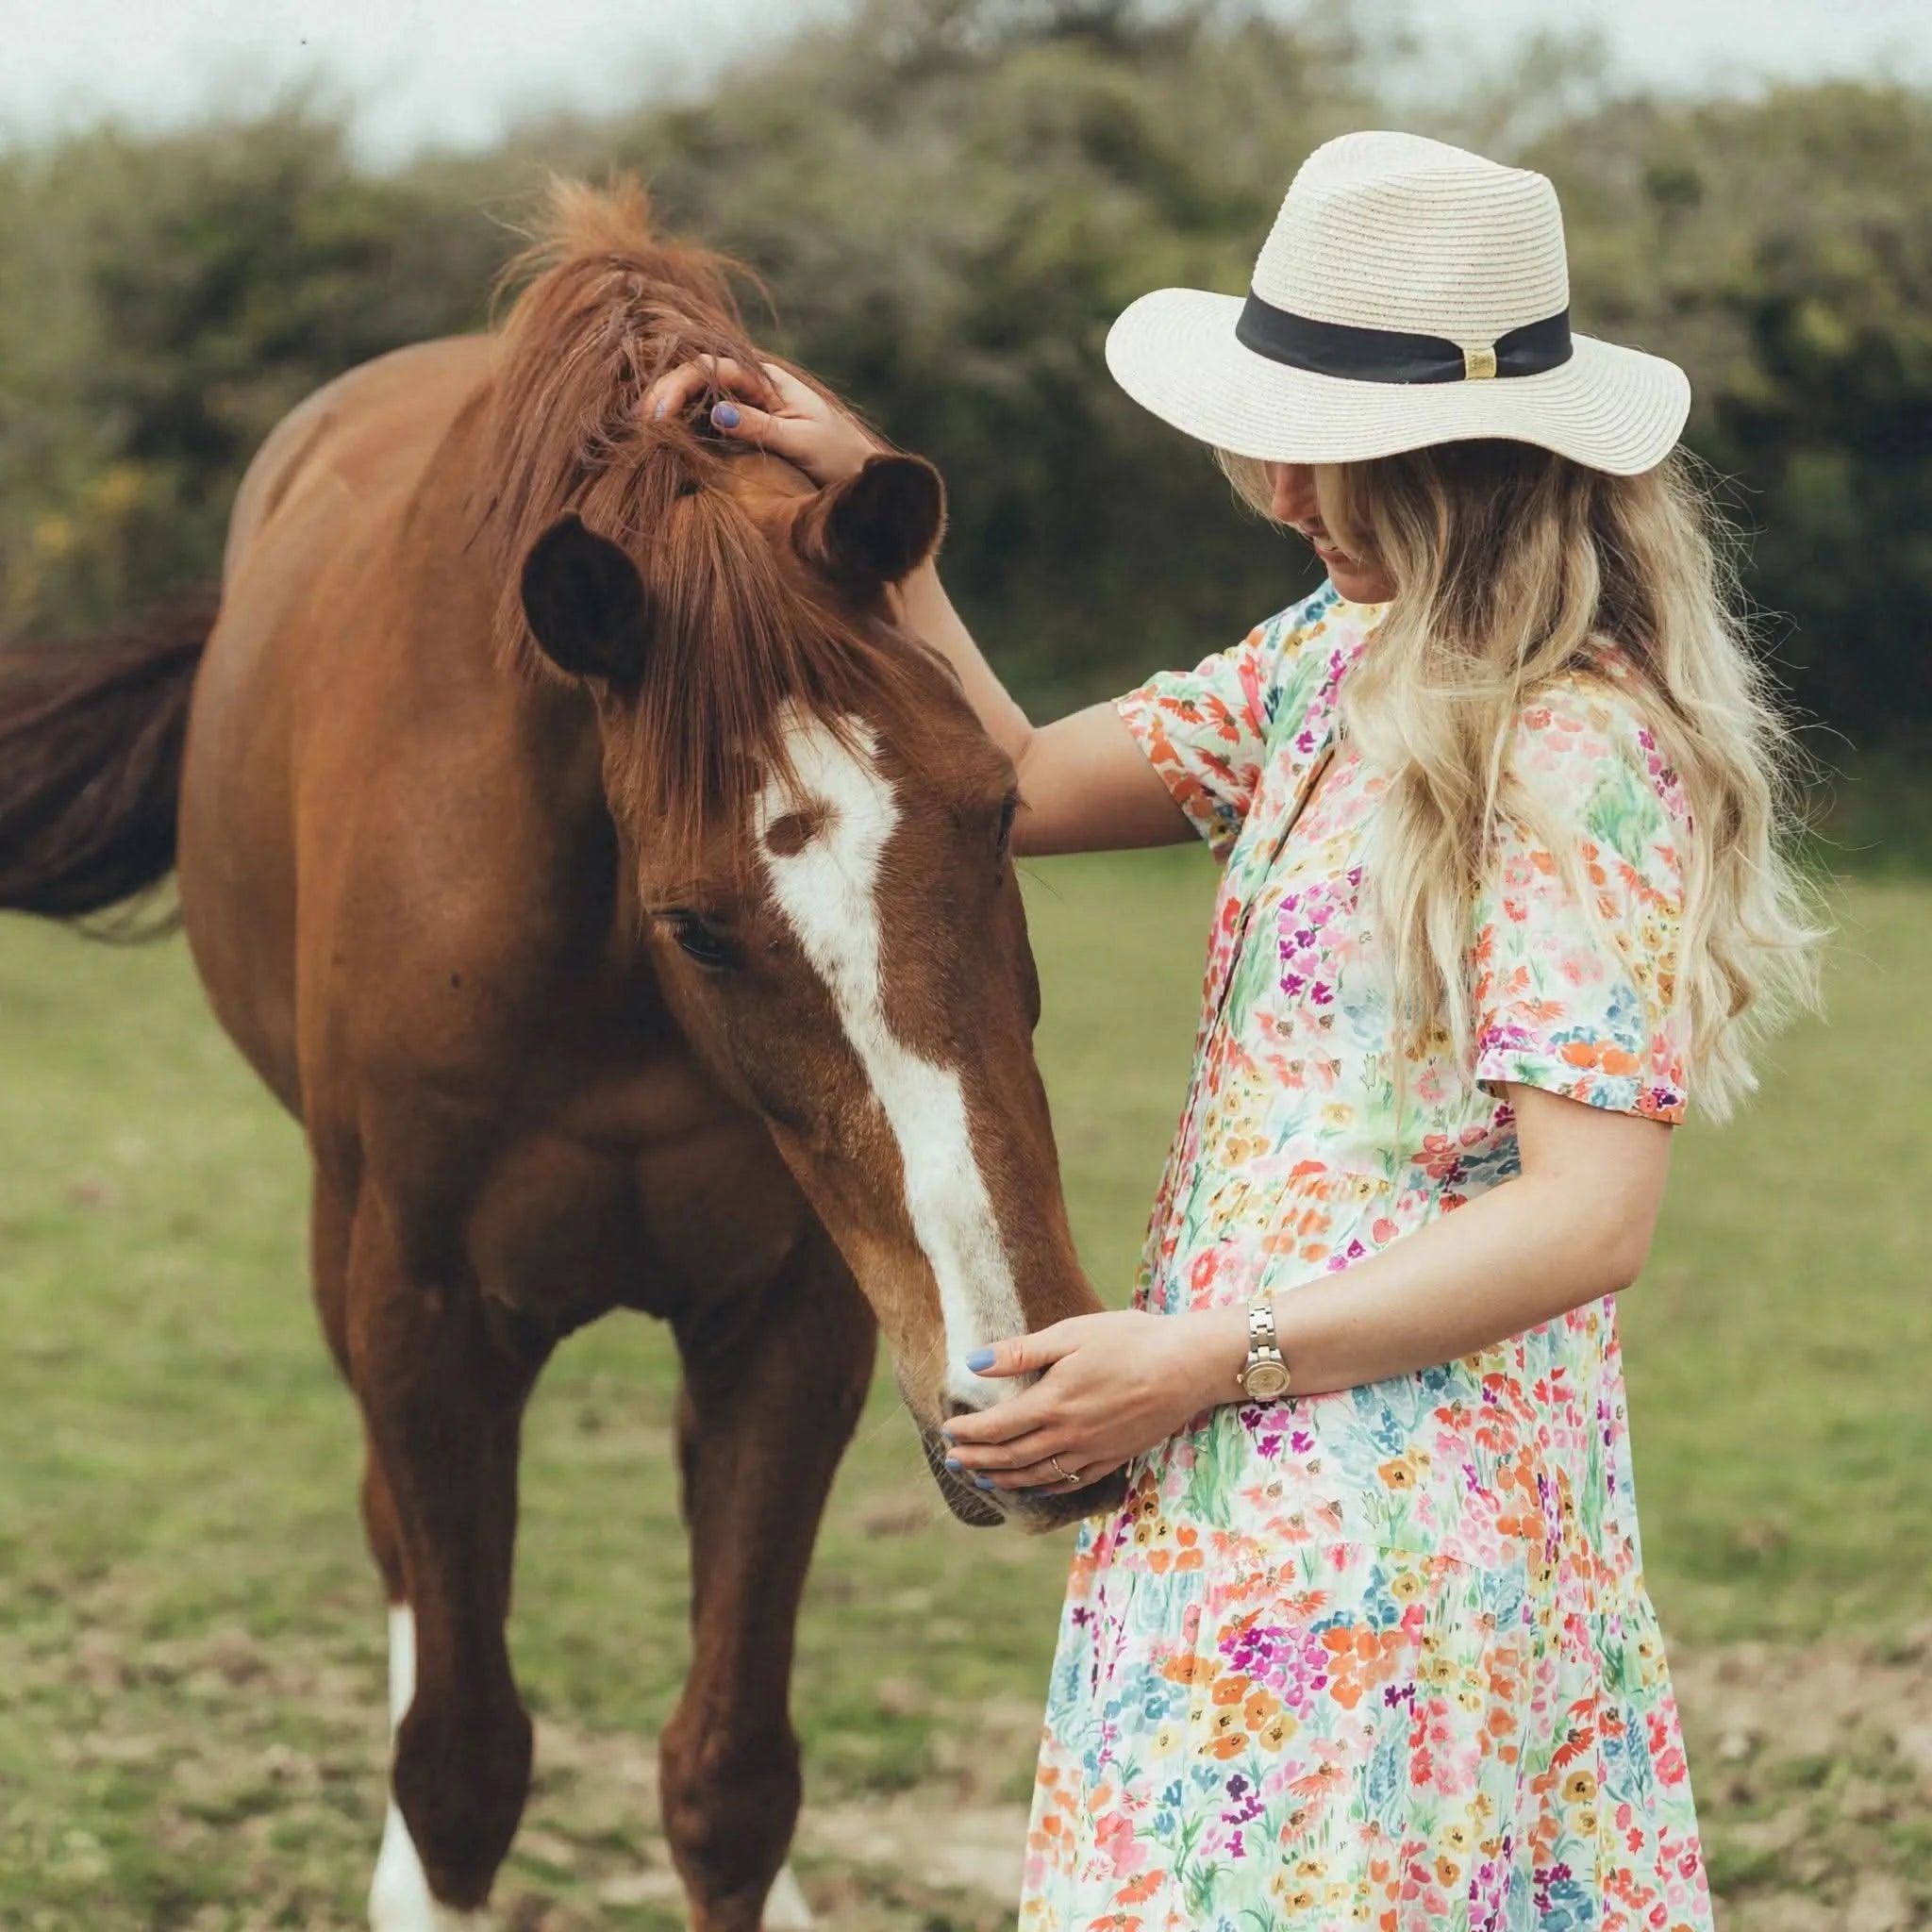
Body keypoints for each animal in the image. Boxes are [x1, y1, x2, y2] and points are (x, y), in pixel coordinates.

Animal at [0, 177, 1120, 1916]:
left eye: (1000, 813)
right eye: (697, 924)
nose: (1028, 1374)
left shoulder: (792, 1318)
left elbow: (730, 1778)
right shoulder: (424, 1310)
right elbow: (462, 1762)